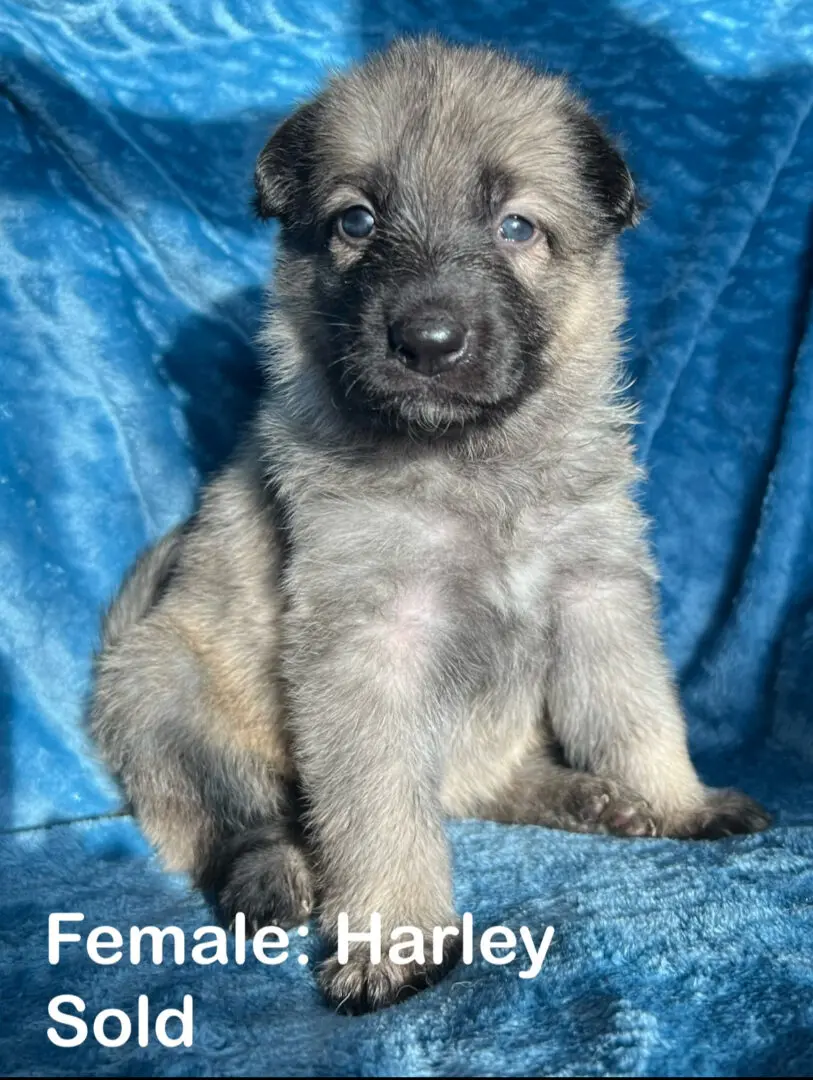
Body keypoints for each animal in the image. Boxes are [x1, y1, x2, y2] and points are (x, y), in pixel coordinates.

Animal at [88, 35, 768, 1010]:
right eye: (356, 222)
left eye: (516, 227)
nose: (428, 342)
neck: (471, 466)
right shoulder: (371, 645)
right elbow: (378, 809)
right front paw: (393, 937)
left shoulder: (595, 597)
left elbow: (637, 715)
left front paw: (678, 801)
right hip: (167, 695)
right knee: (239, 822)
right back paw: (275, 879)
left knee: (473, 785)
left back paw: (584, 795)